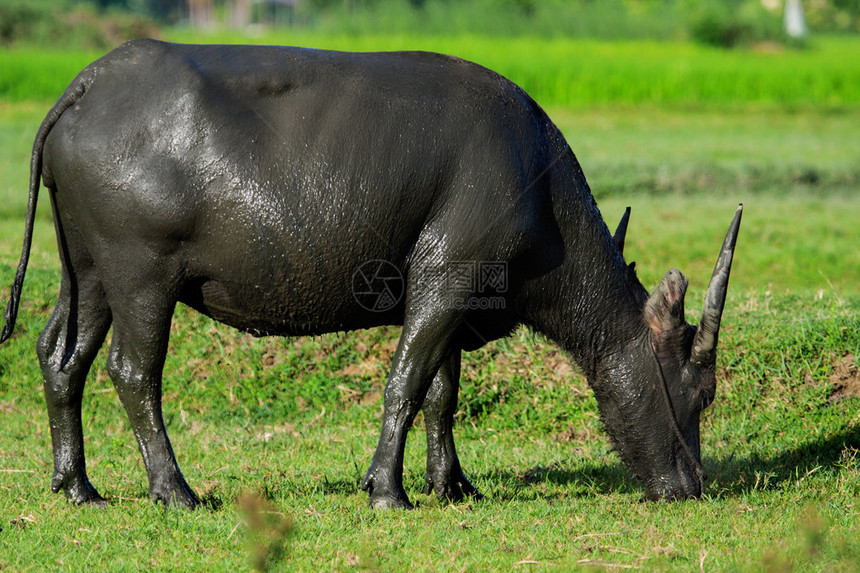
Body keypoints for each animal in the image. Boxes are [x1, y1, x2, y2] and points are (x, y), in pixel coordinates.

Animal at [0, 40, 740, 508]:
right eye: (700, 393)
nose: (691, 486)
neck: (535, 183)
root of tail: (91, 83)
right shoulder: (446, 277)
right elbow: (406, 384)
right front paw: (388, 489)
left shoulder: (453, 298)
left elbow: (443, 392)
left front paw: (453, 484)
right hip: (141, 276)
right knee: (132, 373)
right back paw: (174, 490)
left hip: (88, 272)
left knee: (60, 358)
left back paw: (79, 486)